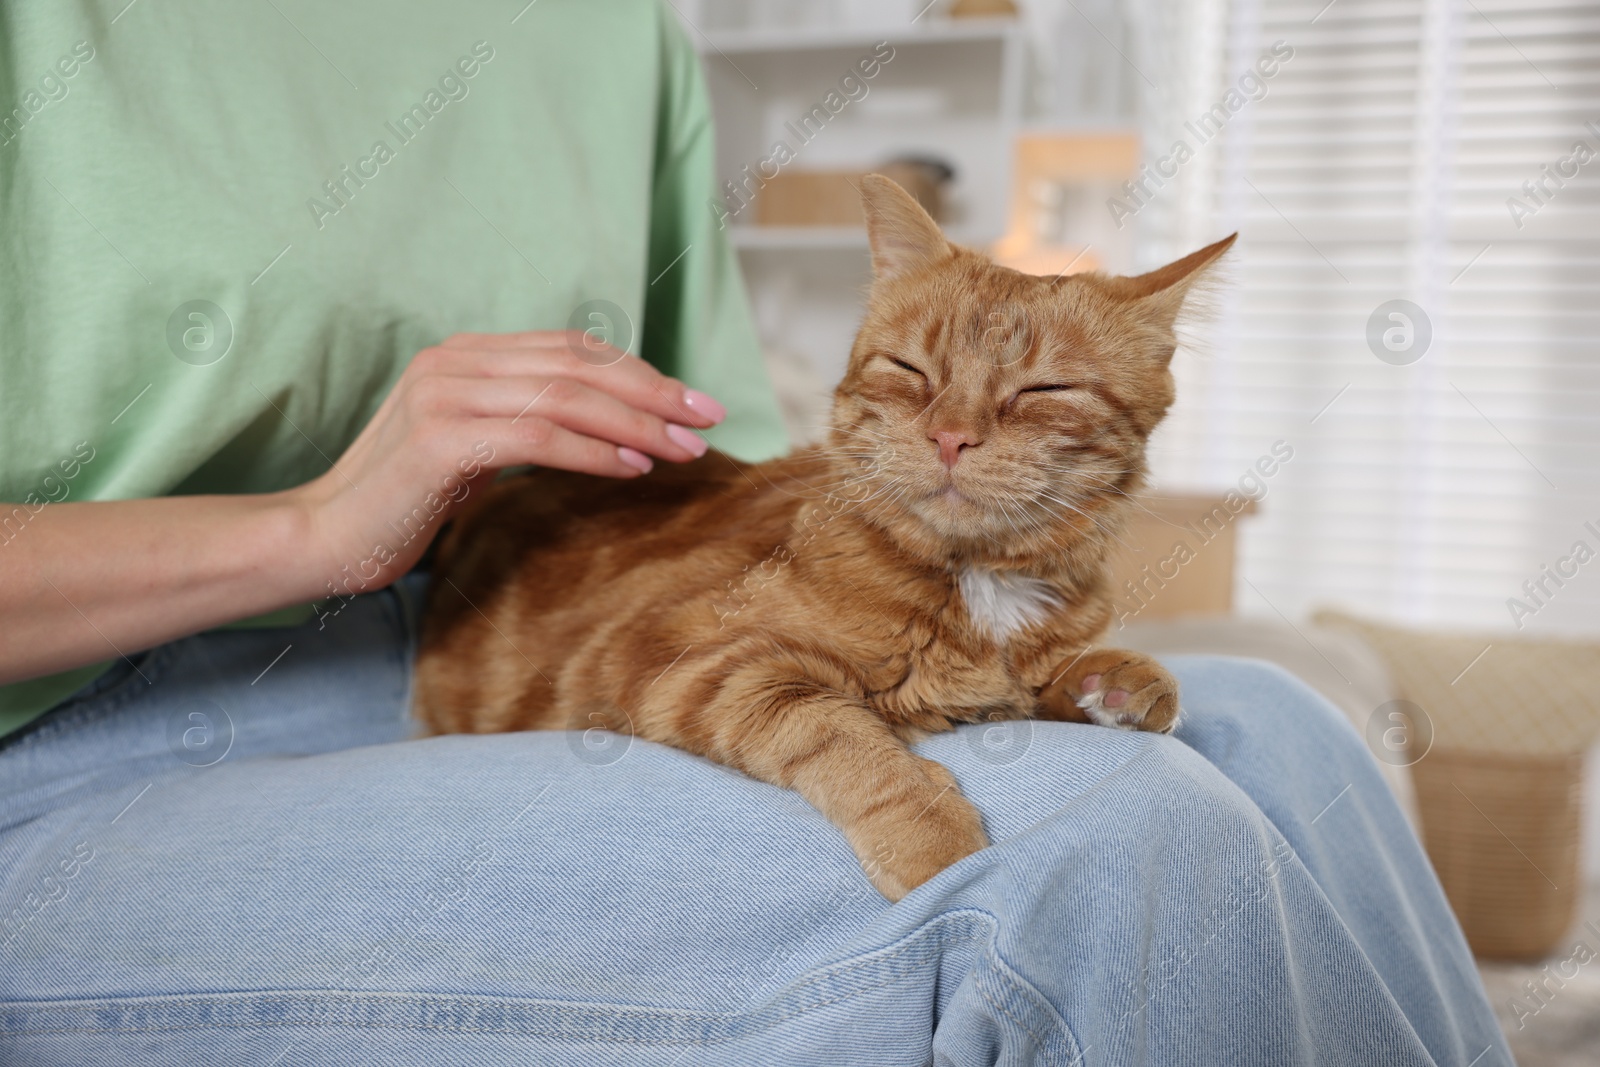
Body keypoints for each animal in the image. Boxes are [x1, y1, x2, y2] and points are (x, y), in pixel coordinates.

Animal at [416, 175, 1235, 902]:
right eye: (910, 370)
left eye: (1044, 391)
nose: (950, 437)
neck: (981, 587)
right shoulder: (679, 660)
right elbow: (840, 732)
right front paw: (934, 844)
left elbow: (1065, 678)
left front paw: (1117, 682)